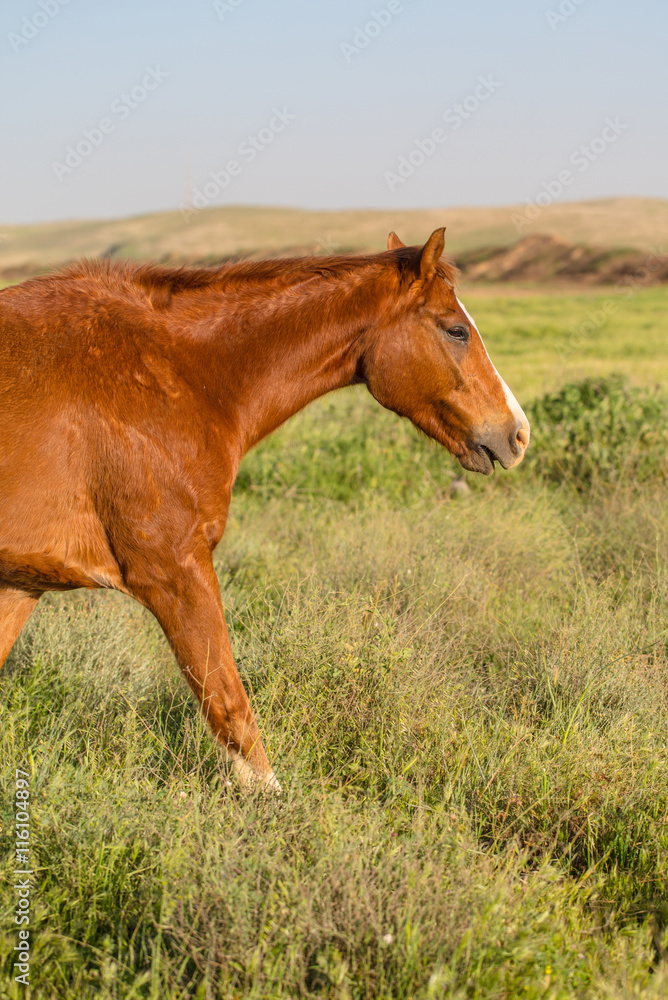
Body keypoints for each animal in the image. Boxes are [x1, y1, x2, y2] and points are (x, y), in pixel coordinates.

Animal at [0, 228, 529, 790]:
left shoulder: (22, 582)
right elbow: (230, 706)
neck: (174, 377)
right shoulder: (173, 572)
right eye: (456, 330)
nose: (518, 433)